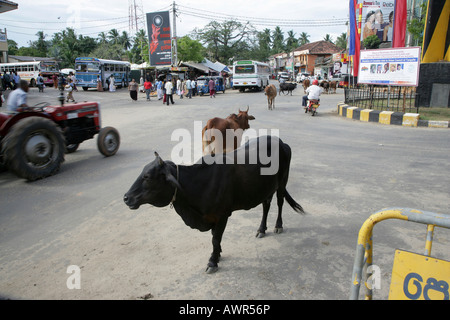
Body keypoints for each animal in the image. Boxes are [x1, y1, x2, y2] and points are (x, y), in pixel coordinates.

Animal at [125, 136, 304, 274]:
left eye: (147, 177)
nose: (126, 198)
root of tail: (281, 142)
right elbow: (214, 238)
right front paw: (217, 255)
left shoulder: (222, 215)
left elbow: (215, 239)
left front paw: (212, 261)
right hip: (266, 189)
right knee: (266, 206)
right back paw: (261, 229)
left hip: (282, 183)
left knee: (280, 203)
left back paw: (278, 225)